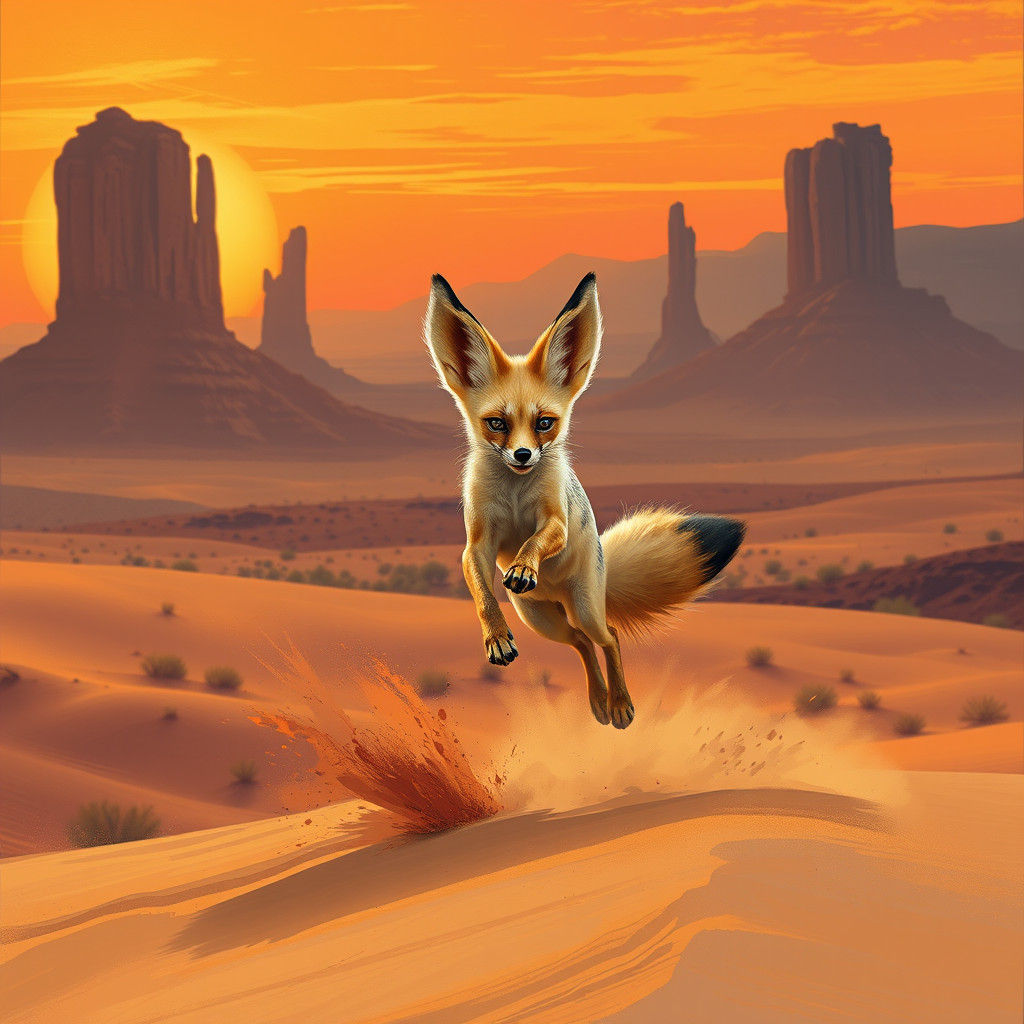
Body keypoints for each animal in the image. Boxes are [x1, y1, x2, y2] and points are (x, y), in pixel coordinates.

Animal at [424, 271, 745, 729]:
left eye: (544, 423)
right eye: (497, 424)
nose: (523, 456)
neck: (515, 494)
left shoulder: (554, 519)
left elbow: (537, 540)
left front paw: (524, 564)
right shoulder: (477, 544)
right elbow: (484, 596)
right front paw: (497, 637)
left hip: (586, 610)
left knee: (608, 637)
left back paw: (621, 705)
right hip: (541, 620)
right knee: (579, 642)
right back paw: (597, 701)